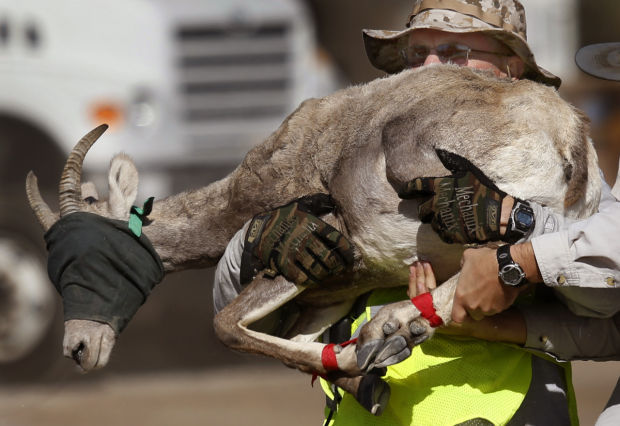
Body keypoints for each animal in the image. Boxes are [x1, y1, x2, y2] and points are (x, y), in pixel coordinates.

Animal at [26, 65, 600, 414]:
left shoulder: (309, 250)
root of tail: (565, 129)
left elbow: (226, 326)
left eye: (91, 252)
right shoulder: (330, 292)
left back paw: (393, 325)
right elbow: (298, 344)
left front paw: (357, 360)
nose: (79, 348)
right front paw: (363, 380)